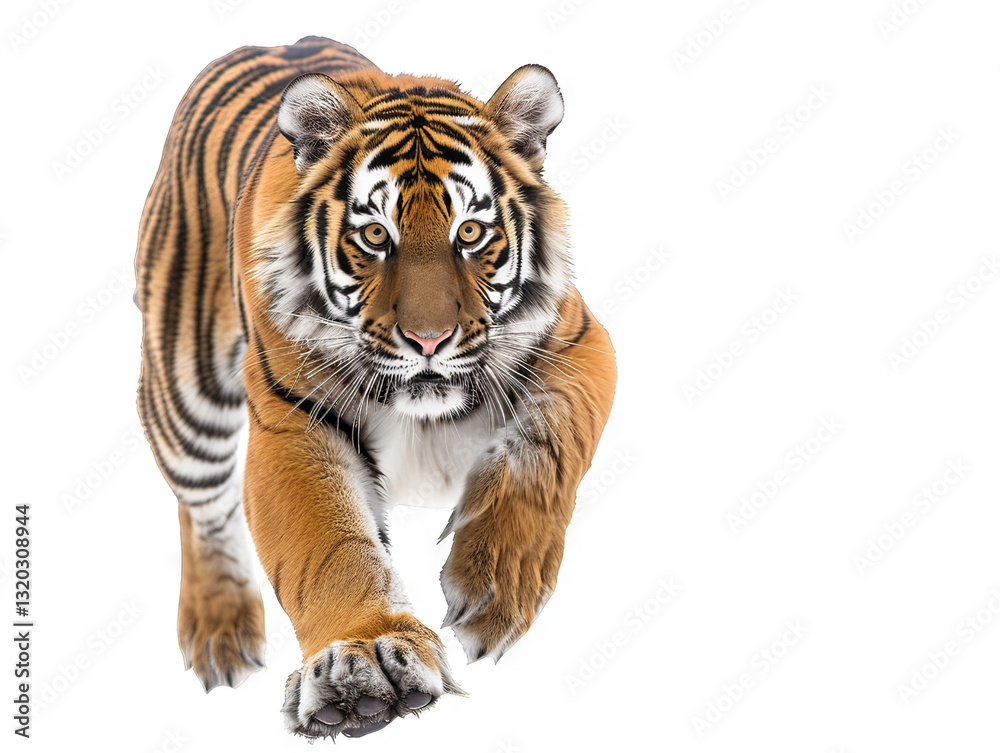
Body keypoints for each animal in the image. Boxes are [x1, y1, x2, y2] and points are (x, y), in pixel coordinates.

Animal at [134, 35, 616, 740]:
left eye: (470, 233)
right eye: (374, 236)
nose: (429, 340)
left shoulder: (581, 348)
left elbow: (544, 454)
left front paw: (495, 585)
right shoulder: (293, 418)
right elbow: (327, 544)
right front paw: (360, 660)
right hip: (183, 391)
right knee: (201, 506)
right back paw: (219, 631)